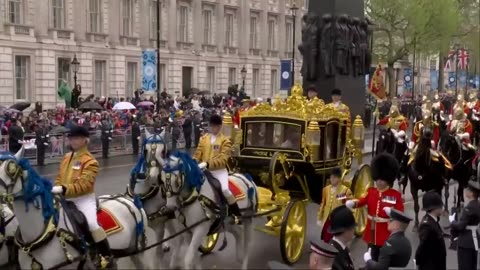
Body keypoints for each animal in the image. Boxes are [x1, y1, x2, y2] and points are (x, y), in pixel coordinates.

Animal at [125, 129, 186, 268]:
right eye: (146, 150)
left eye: (163, 151)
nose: (153, 175)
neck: (145, 194)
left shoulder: (159, 226)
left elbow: (157, 253)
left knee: (179, 235)